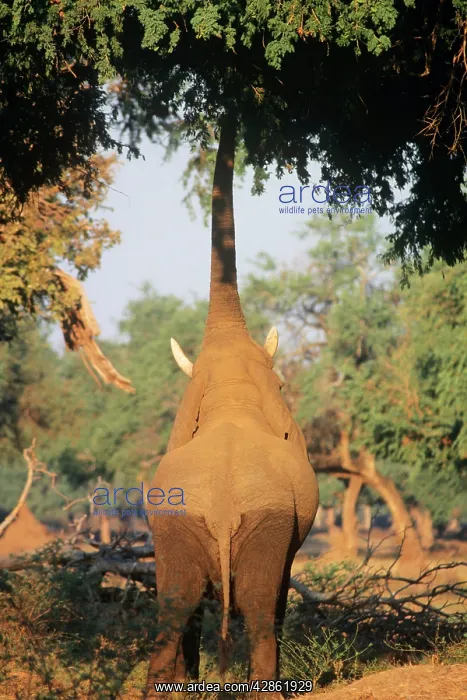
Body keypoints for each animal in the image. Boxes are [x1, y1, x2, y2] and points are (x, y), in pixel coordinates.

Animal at [144, 115, 319, 699]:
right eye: (281, 383)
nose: (229, 115)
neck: (229, 394)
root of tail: (221, 510)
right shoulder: (282, 529)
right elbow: (276, 600)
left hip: (176, 528)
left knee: (171, 615)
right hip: (264, 521)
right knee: (263, 617)